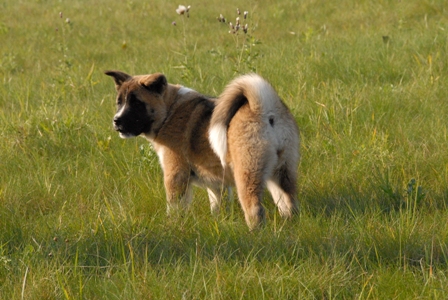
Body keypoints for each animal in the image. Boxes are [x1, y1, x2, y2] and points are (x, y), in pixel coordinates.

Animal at [104, 71, 300, 230]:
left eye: (137, 103)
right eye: (119, 103)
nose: (116, 120)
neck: (169, 110)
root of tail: (264, 109)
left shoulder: (175, 175)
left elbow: (174, 207)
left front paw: (172, 225)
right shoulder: (216, 183)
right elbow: (217, 205)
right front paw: (219, 221)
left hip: (247, 174)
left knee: (254, 209)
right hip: (282, 173)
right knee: (289, 202)